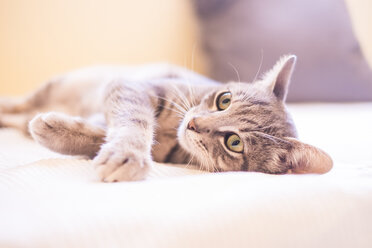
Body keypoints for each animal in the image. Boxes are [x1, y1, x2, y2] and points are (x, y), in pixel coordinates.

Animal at [0, 54, 332, 182]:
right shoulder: (132, 87)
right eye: (224, 100)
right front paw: (127, 152)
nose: (194, 124)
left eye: (234, 142)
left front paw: (55, 130)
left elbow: (101, 134)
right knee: (18, 104)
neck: (173, 133)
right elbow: (133, 121)